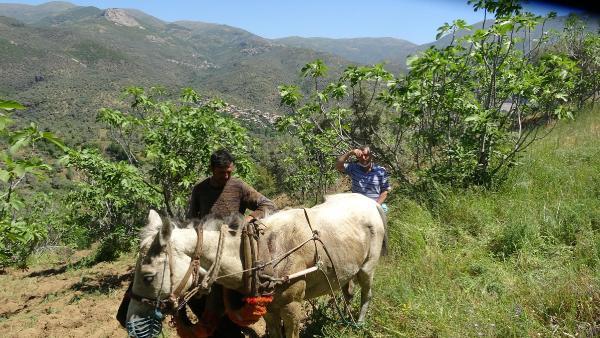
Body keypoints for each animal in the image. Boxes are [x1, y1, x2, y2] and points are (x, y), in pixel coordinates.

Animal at [128, 193, 386, 338]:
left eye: (148, 276)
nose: (132, 326)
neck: (261, 253)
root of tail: (371, 203)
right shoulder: (269, 310)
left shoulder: (292, 307)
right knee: (347, 291)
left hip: (368, 269)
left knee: (367, 294)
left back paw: (357, 324)